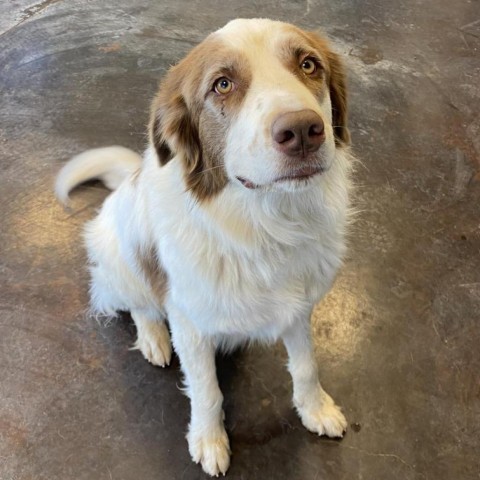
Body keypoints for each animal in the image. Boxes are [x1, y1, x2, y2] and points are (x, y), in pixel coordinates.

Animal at [56, 18, 354, 476]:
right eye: (223, 85)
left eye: (308, 64)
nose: (304, 131)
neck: (266, 226)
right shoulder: (189, 323)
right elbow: (206, 391)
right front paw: (209, 441)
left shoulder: (299, 306)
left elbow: (306, 365)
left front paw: (315, 409)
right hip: (120, 262)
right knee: (139, 304)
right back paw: (153, 340)